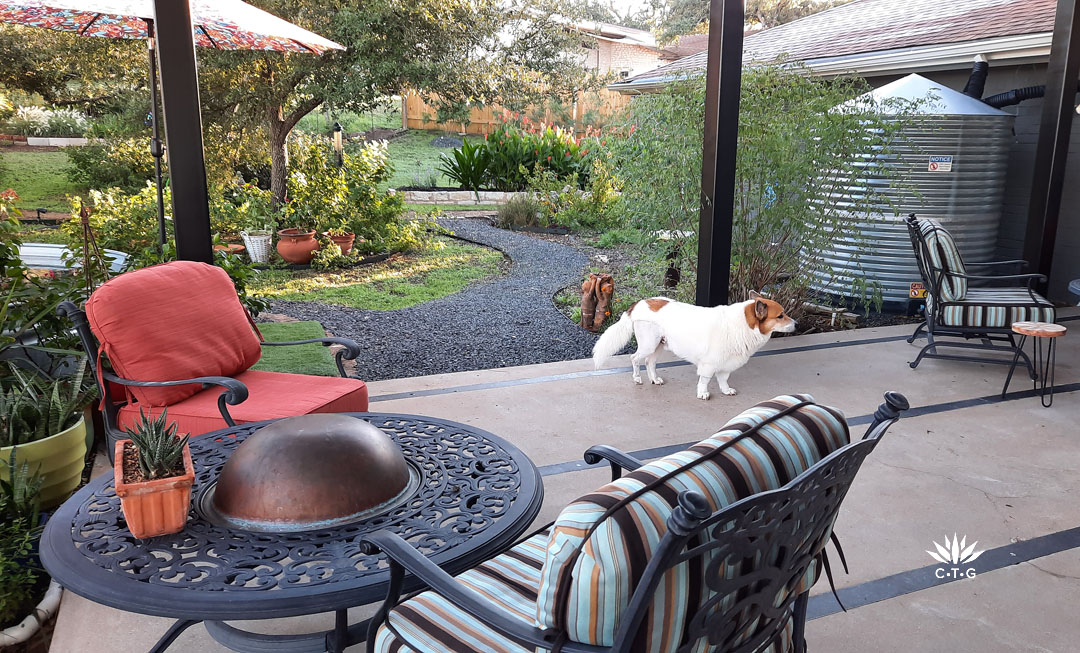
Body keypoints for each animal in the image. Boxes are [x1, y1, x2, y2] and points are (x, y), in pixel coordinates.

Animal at [591, 293, 794, 399]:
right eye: (780, 315)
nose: (797, 324)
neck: (744, 323)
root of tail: (639, 303)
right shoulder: (709, 364)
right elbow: (705, 380)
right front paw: (703, 393)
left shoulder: (725, 364)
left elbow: (723, 379)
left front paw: (725, 390)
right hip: (649, 344)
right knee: (635, 358)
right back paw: (637, 378)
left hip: (659, 345)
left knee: (650, 362)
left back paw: (654, 379)